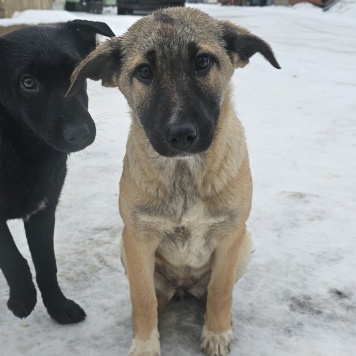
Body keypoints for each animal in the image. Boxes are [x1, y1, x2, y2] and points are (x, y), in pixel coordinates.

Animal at [0, 20, 114, 324]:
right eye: (28, 82)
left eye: (76, 74)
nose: (80, 134)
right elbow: (12, 258)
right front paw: (22, 297)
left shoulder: (44, 210)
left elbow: (46, 263)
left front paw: (58, 306)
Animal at [66, 6, 278, 356]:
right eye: (144, 72)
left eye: (203, 62)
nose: (181, 135)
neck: (184, 175)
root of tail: (183, 286)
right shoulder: (137, 240)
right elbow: (142, 299)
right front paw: (145, 343)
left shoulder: (230, 236)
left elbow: (221, 290)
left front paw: (216, 332)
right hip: (127, 250)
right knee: (156, 297)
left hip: (245, 244)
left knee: (212, 291)